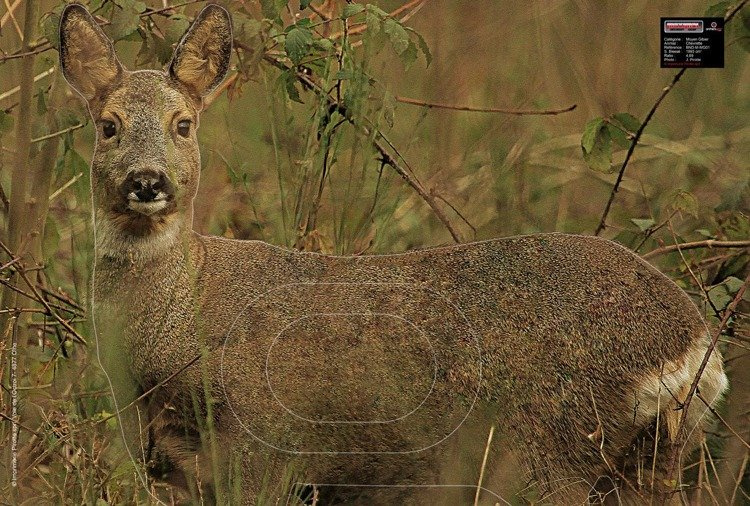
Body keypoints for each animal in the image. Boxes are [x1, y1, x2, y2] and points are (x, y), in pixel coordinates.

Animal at [58, 4, 728, 506]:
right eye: (109, 125)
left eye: (184, 124)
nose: (147, 181)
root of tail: (693, 343)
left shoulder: (262, 446)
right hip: (648, 462)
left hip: (548, 445)